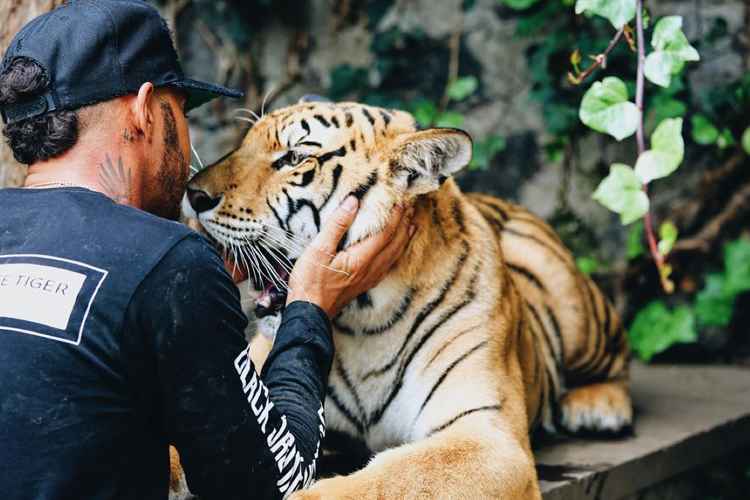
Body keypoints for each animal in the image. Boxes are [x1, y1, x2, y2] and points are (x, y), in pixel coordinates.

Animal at [179, 98, 632, 499]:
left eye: (294, 158)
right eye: (245, 142)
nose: (193, 194)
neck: (361, 323)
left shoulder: (487, 434)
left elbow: (396, 478)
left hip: (573, 305)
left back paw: (598, 407)